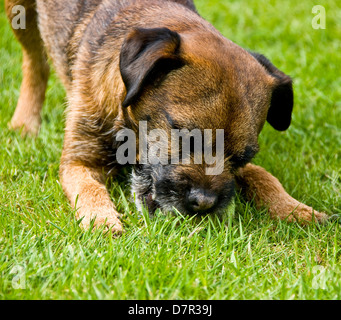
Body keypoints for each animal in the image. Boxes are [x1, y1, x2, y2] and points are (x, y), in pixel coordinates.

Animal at [5, 0, 326, 235]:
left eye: (242, 157)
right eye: (185, 136)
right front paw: (102, 220)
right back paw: (25, 122)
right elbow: (88, 188)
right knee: (35, 61)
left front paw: (296, 209)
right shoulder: (78, 161)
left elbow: (264, 175)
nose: (204, 203)